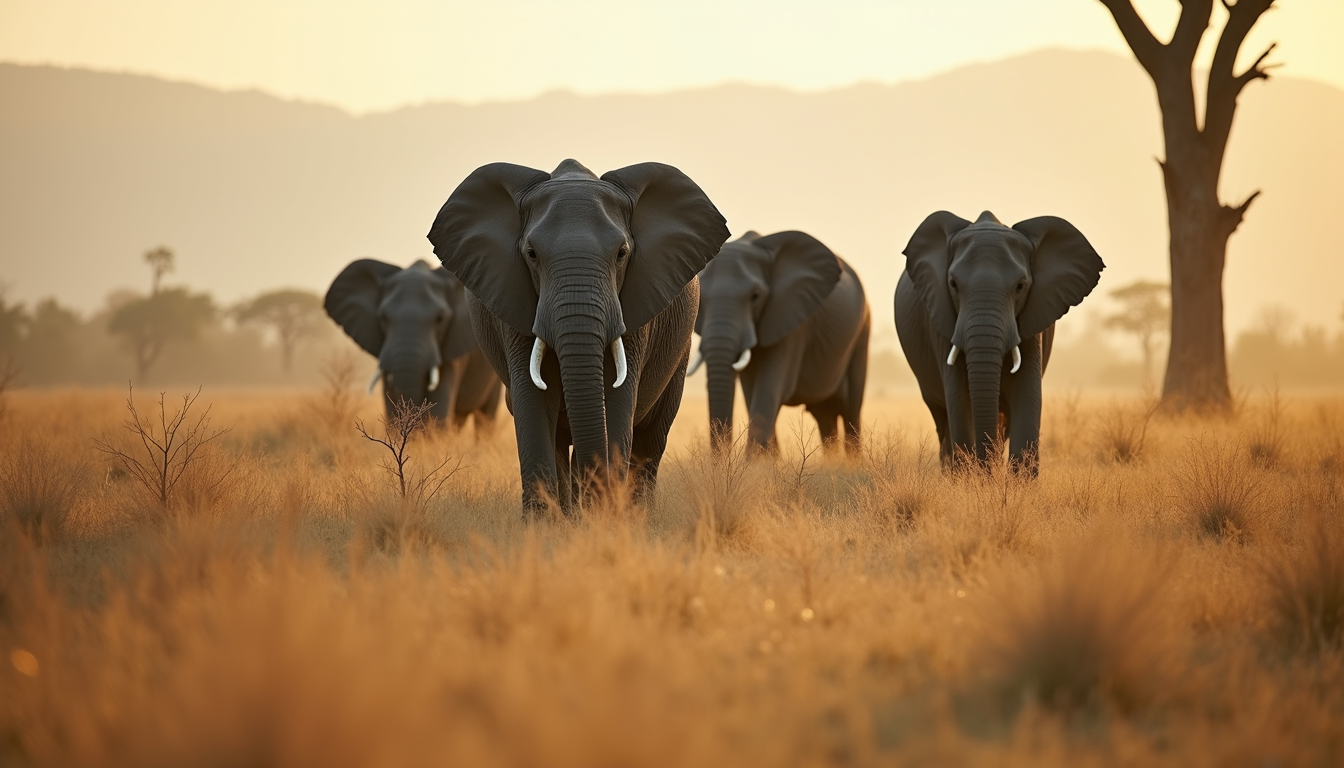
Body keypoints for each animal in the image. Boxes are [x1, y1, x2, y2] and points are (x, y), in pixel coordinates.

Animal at [427, 159, 729, 511]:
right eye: (531, 254)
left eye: (622, 253)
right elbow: (533, 397)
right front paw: (547, 523)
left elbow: (616, 396)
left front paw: (601, 516)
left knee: (651, 437)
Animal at [690, 230, 870, 453]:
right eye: (701, 300)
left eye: (755, 296)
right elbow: (752, 391)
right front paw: (767, 460)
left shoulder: (791, 319)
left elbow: (769, 389)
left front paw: (756, 461)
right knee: (825, 414)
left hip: (862, 332)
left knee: (851, 410)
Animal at [894, 211, 1104, 473]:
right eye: (953, 284)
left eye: (1021, 286)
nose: (986, 473)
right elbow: (959, 400)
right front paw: (971, 478)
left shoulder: (1034, 318)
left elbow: (1027, 397)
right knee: (941, 417)